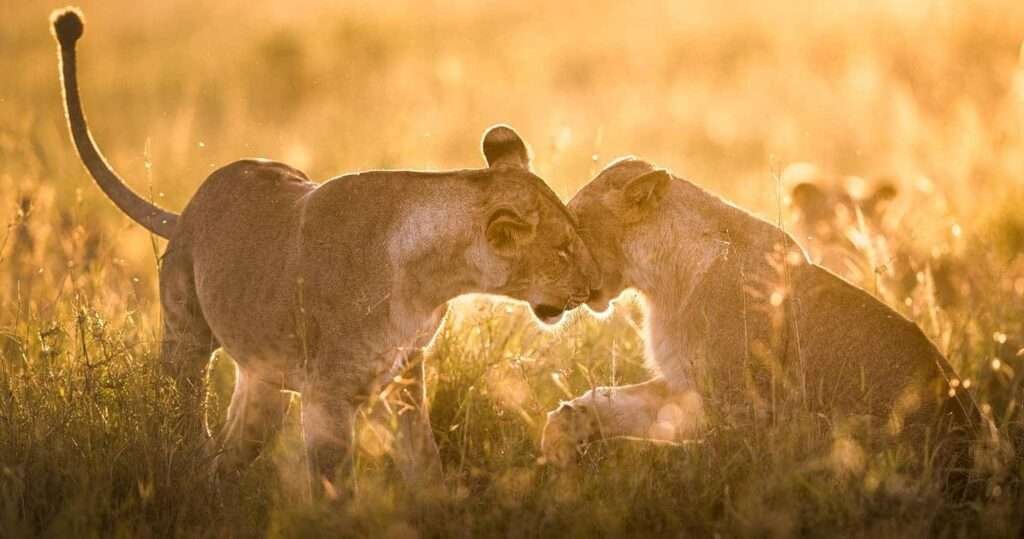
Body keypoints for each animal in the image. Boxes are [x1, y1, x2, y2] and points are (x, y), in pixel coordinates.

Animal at [51, 8, 599, 496]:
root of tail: (186, 210)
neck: (432, 280)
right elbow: (337, 486)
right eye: (563, 250)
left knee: (231, 448)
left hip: (263, 383)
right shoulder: (327, 396)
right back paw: (182, 464)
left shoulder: (404, 377)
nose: (594, 289)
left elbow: (424, 462)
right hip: (186, 335)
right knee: (181, 406)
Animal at [541, 157, 997, 490]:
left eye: (575, 223)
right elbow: (612, 402)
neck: (661, 281)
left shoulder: (747, 416)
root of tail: (973, 460)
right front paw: (560, 435)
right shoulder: (686, 386)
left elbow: (682, 457)